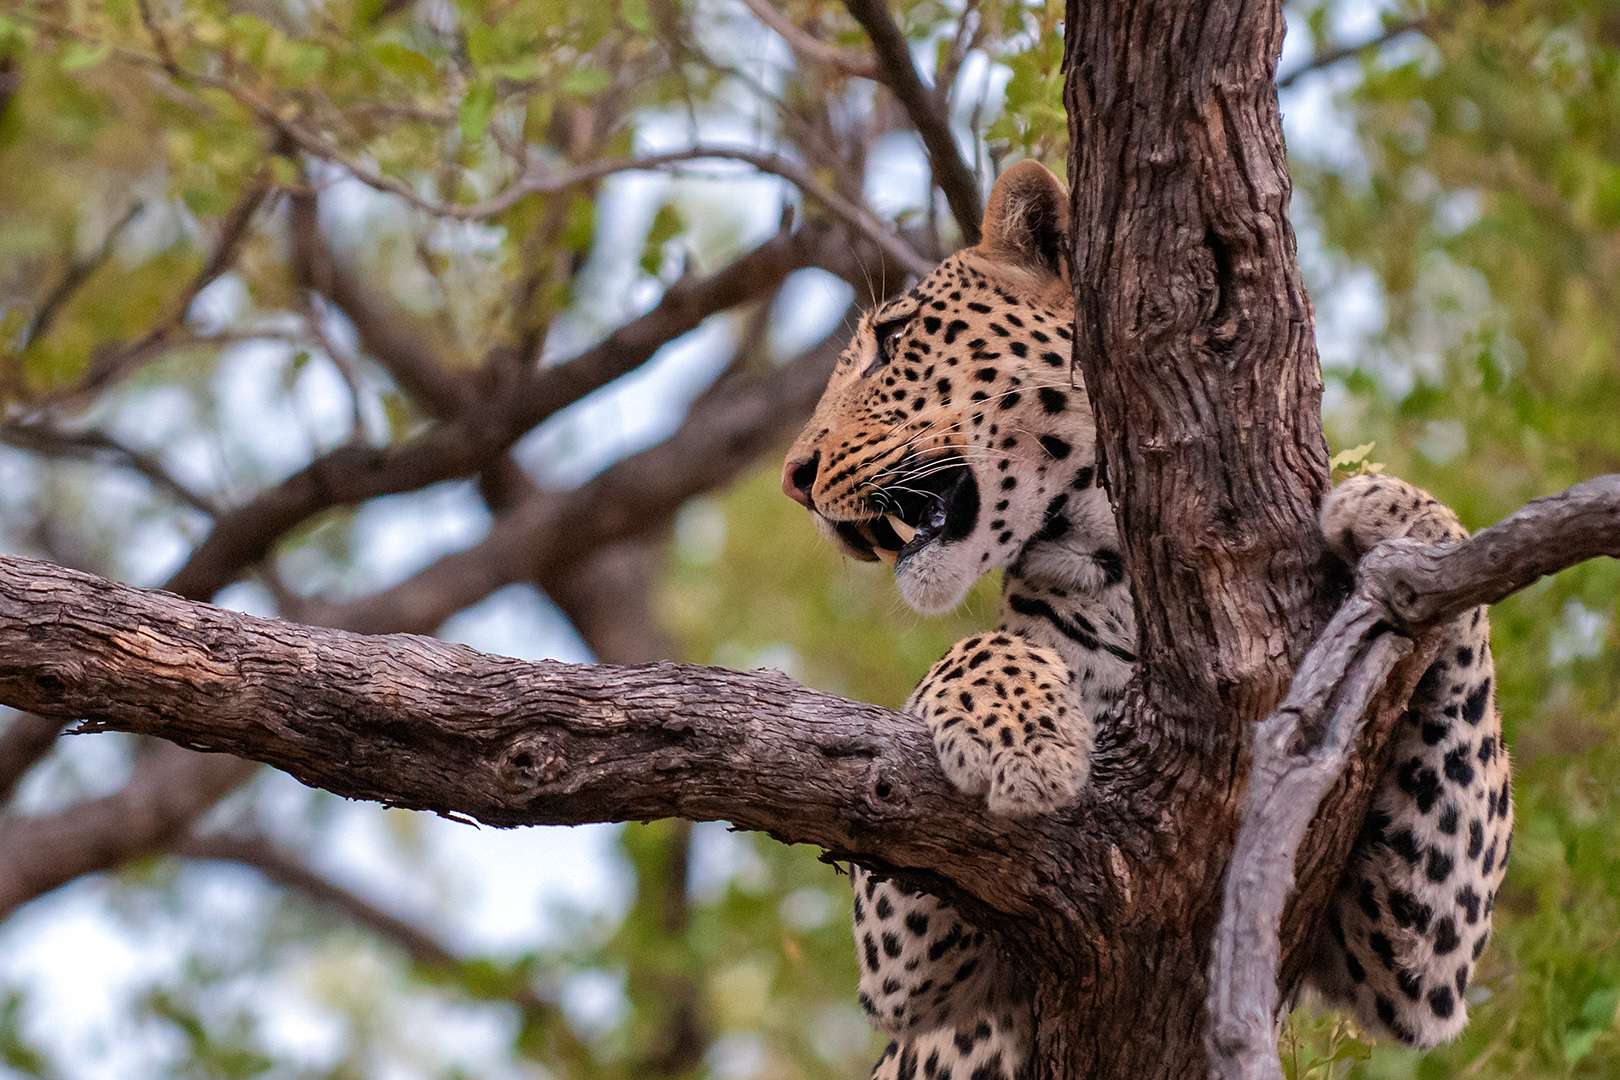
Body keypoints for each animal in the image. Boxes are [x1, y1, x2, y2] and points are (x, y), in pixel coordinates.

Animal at [777, 160, 1509, 1080]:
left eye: (894, 337)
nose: (794, 477)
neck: (1121, 563)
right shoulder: (916, 959)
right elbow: (973, 648)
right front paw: (1022, 738)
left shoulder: (1408, 946)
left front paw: (1401, 514)